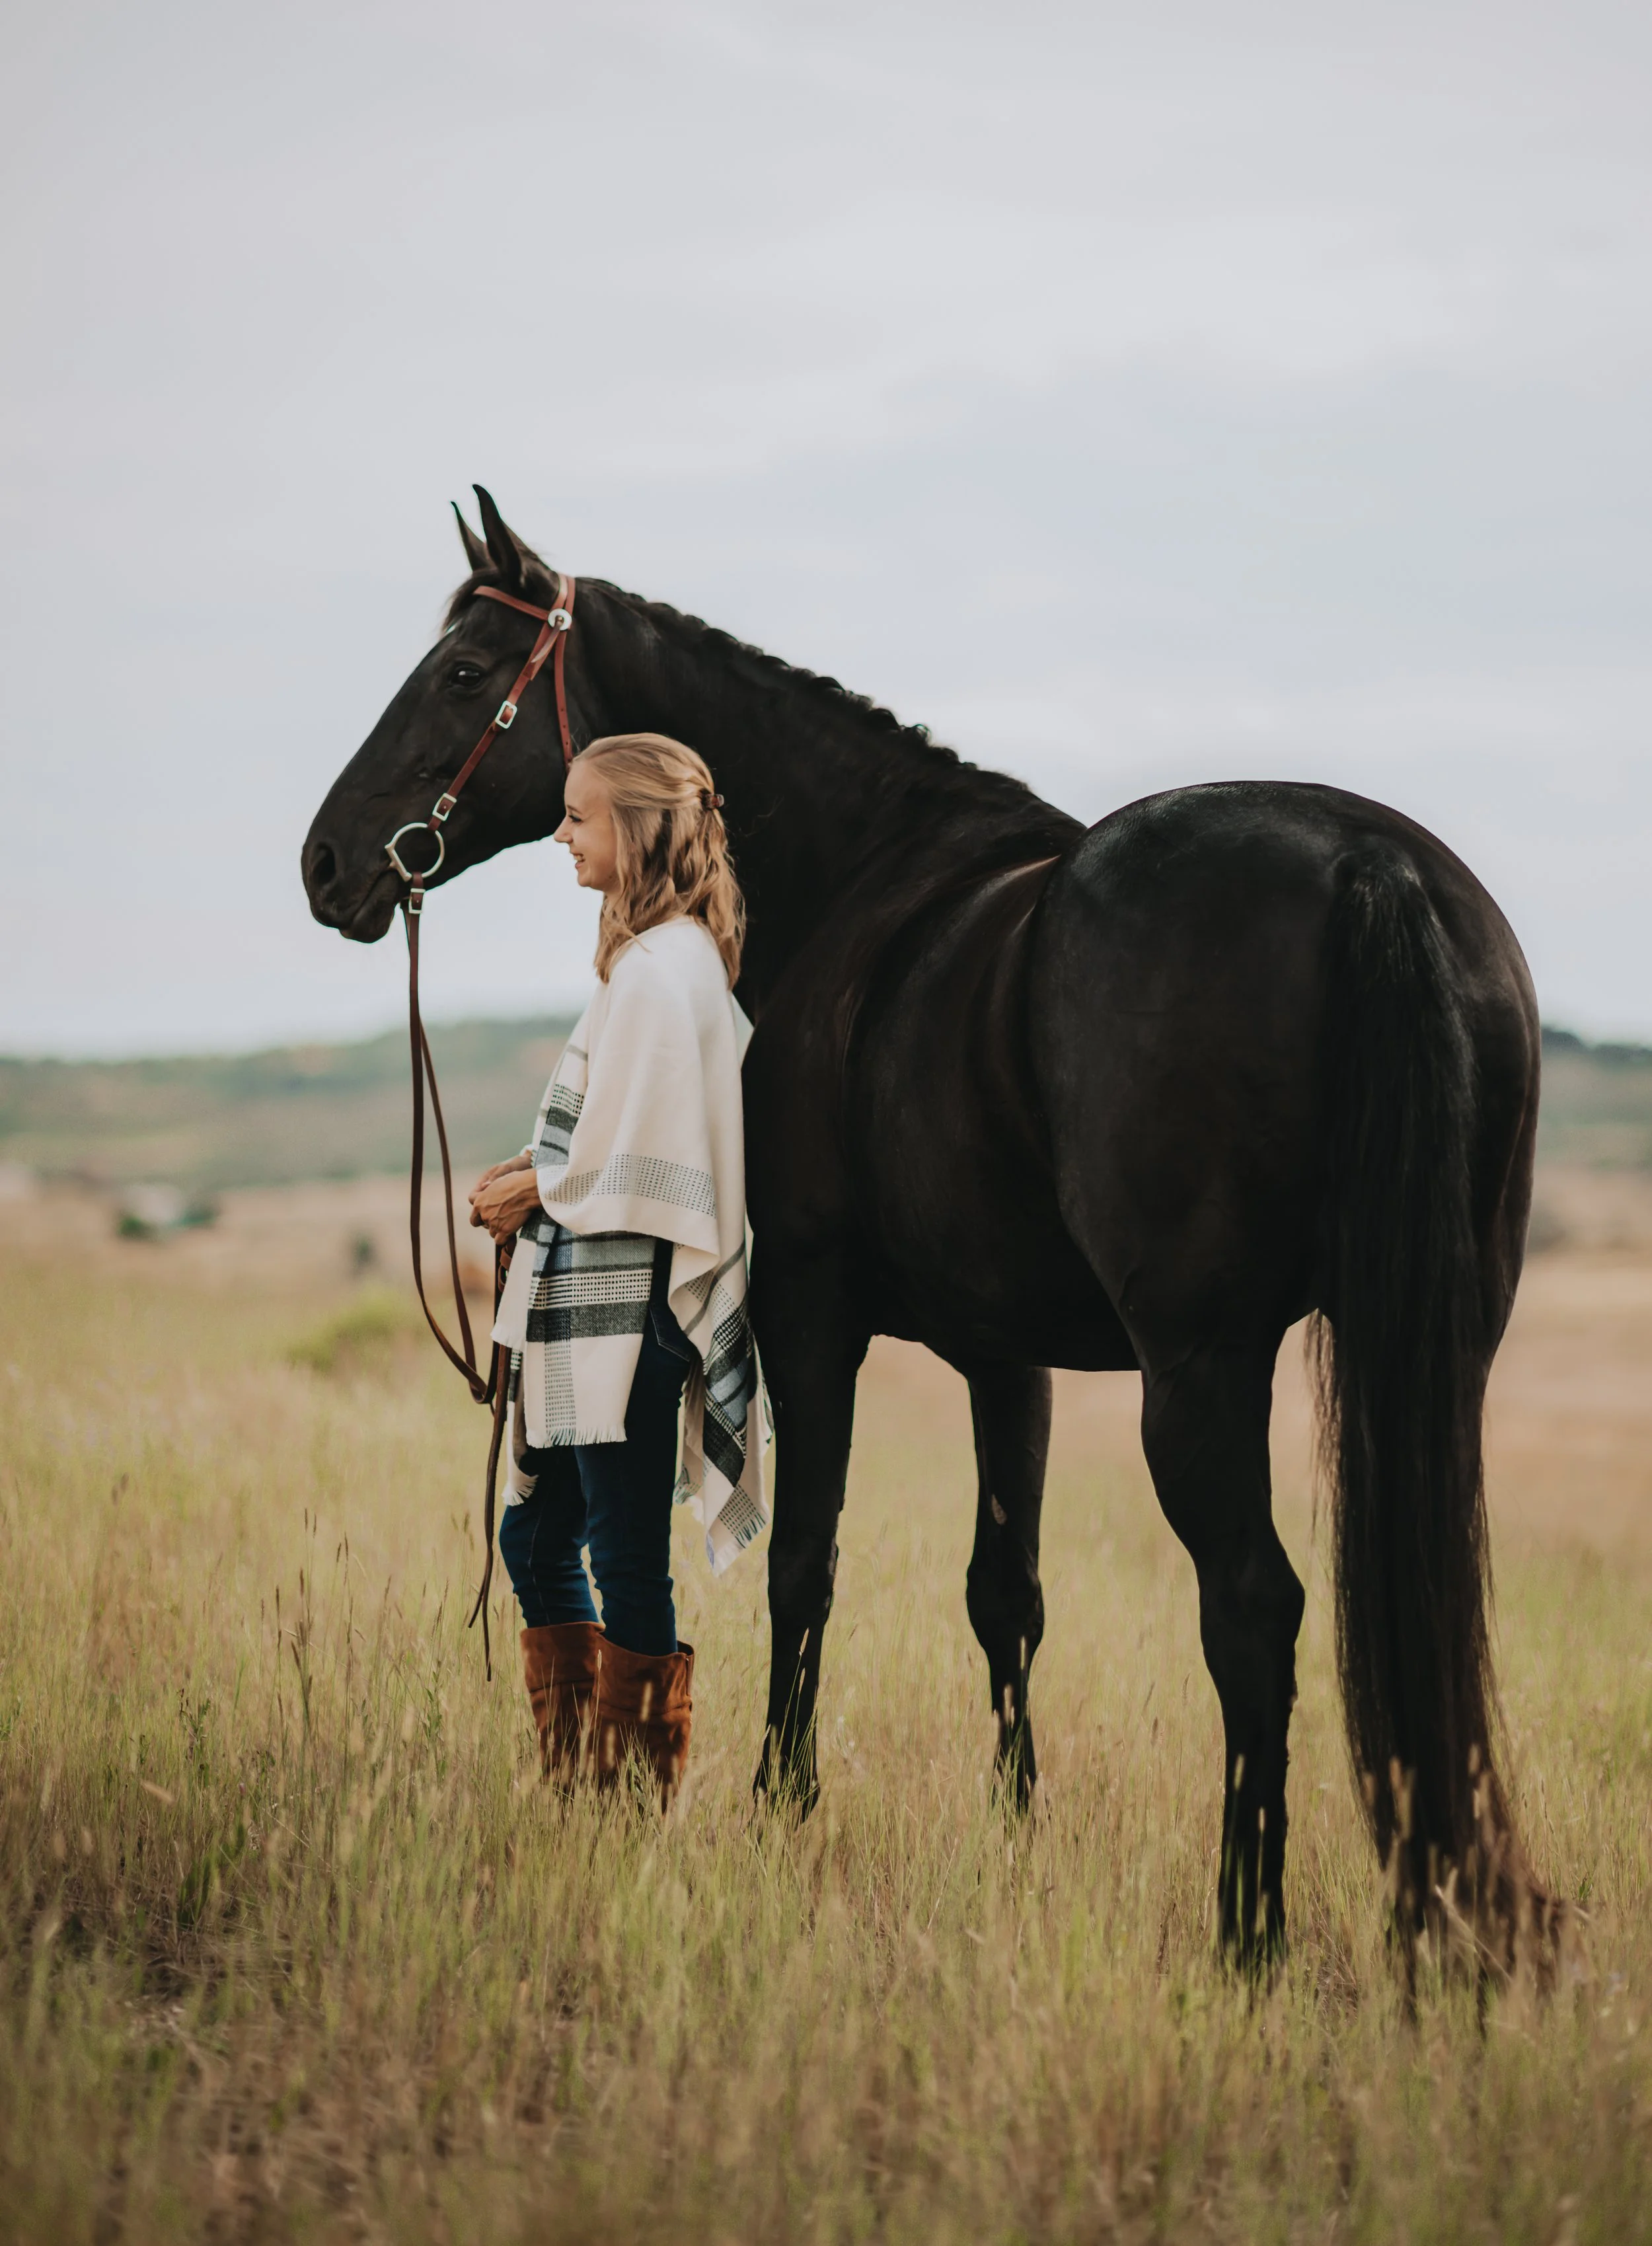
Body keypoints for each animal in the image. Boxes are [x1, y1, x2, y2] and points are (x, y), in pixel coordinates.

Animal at [303, 487, 1548, 1968]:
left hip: (1200, 1369)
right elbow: (1004, 1593)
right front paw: (1017, 1829)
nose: (327, 861)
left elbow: (801, 1561)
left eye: (461, 672)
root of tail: (1371, 867)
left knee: (1255, 1609)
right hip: (1439, 1348)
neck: (858, 885)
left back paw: (1248, 1933)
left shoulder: (810, 1317)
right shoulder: (1009, 1357)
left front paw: (781, 1805)